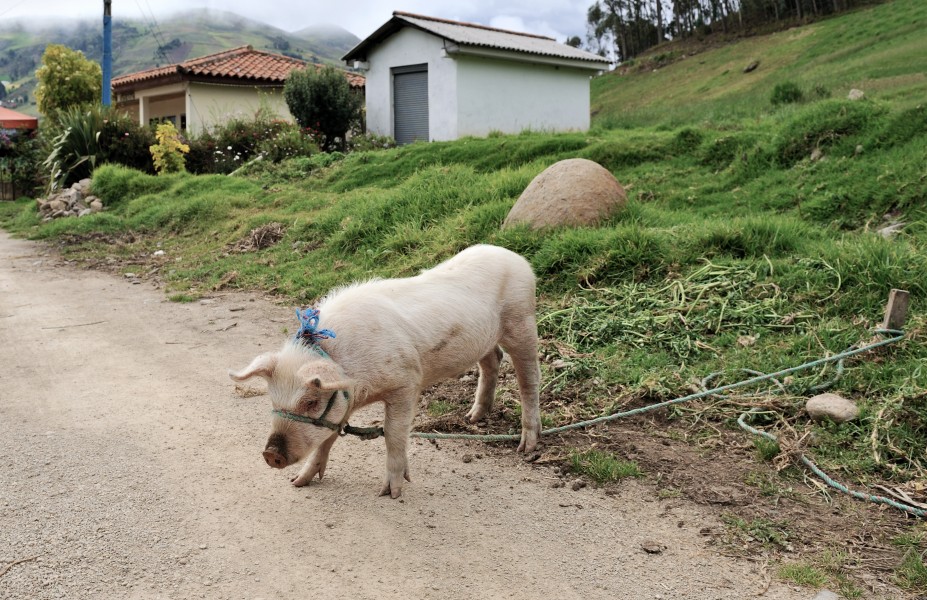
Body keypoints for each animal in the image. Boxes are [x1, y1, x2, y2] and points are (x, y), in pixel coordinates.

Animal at [229, 244, 542, 498]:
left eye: (311, 402)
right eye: (273, 401)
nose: (270, 454)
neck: (352, 374)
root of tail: (515, 257)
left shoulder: (406, 382)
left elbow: (393, 432)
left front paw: (390, 492)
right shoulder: (343, 401)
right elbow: (326, 438)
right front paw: (298, 482)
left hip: (521, 320)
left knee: (529, 378)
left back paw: (526, 446)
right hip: (485, 339)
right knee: (492, 360)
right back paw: (473, 418)